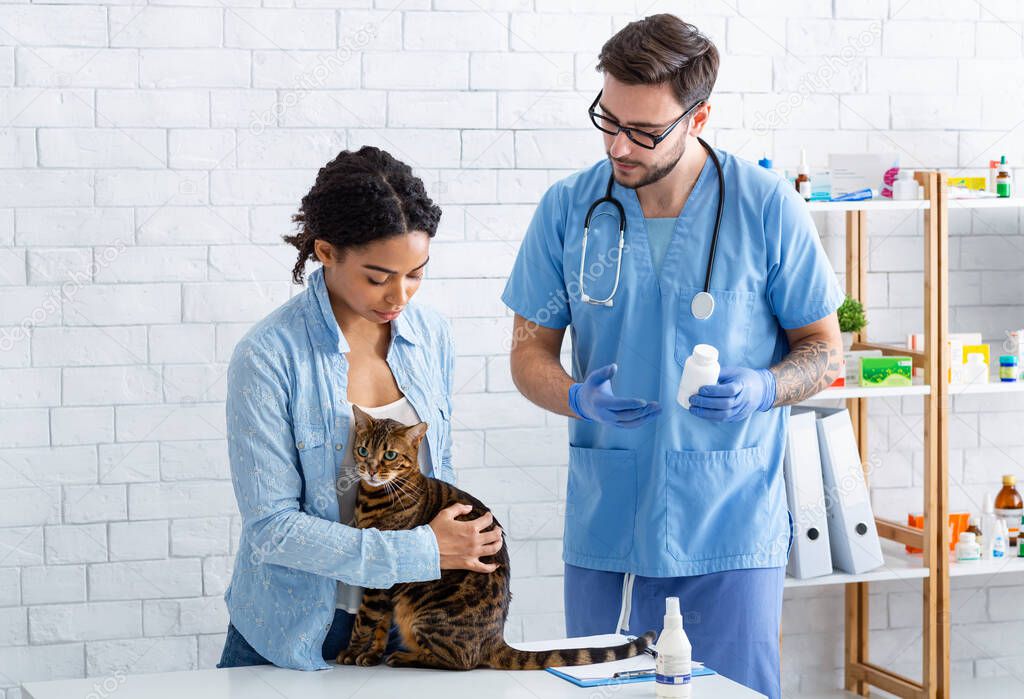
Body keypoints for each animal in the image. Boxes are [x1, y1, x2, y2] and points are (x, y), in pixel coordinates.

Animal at [335, 405, 655, 671]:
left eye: (390, 455)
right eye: (362, 450)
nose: (371, 470)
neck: (374, 496)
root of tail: (495, 638)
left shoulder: (384, 568)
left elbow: (366, 617)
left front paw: (351, 651)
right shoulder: (380, 572)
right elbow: (379, 622)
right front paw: (370, 654)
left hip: (427, 615)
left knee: (461, 661)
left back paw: (404, 657)